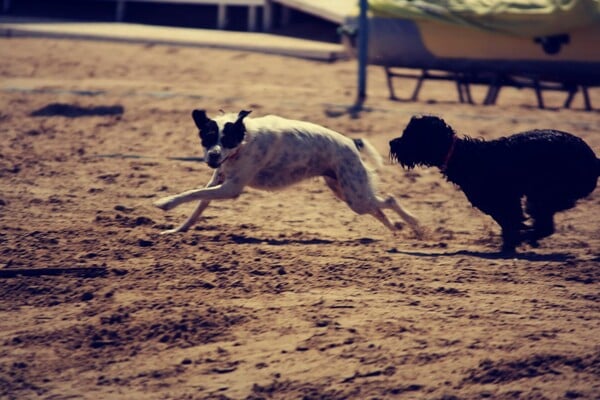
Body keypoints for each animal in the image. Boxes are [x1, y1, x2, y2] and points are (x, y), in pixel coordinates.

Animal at [154, 108, 422, 236]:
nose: (213, 156)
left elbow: (192, 194)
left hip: (354, 195)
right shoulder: (217, 182)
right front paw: (177, 230)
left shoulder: (230, 188)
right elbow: (196, 206)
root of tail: (351, 142)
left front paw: (165, 202)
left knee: (389, 200)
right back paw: (397, 230)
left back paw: (415, 225)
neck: (243, 143)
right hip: (348, 193)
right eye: (208, 137)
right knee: (379, 208)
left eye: (227, 138)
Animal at [392, 115, 596, 252]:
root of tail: (594, 160)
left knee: (544, 226)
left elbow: (511, 223)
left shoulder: (504, 201)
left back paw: (527, 237)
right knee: (545, 226)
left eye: (411, 135)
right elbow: (509, 224)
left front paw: (512, 243)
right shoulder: (505, 204)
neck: (464, 155)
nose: (392, 143)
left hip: (543, 195)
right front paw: (510, 243)